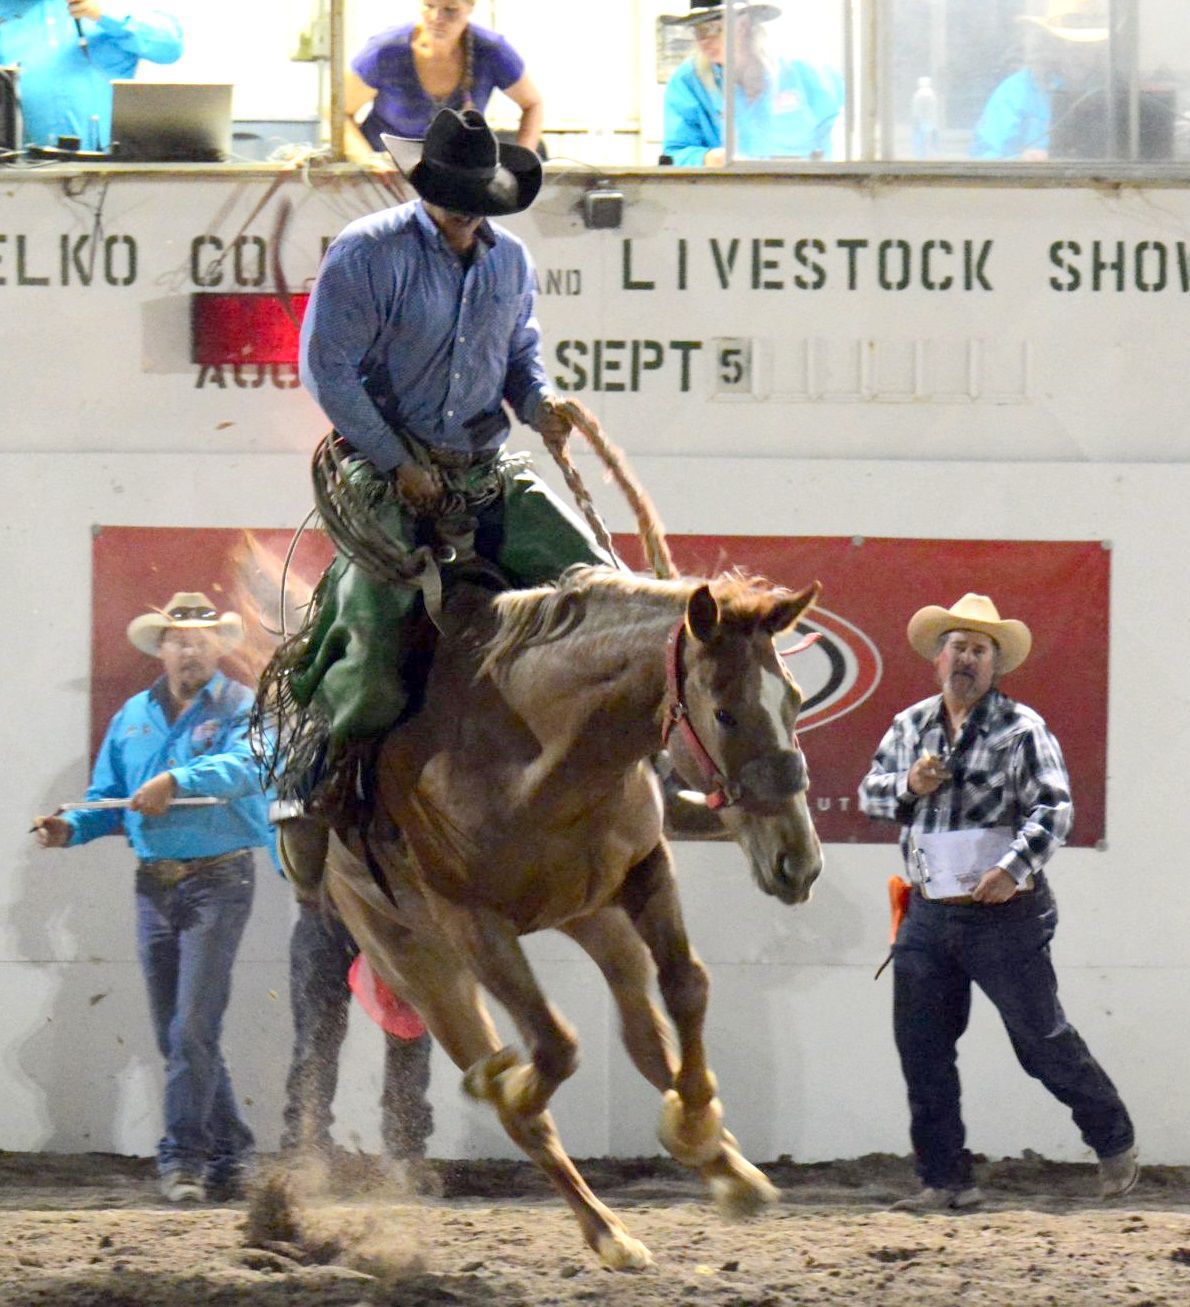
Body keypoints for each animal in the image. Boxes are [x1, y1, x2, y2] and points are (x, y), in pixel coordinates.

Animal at [321, 569, 826, 1265]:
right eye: (724, 712)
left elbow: (687, 985)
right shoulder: (470, 921)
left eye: (797, 700)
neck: (538, 757)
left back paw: (727, 1168)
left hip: (597, 919)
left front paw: (697, 1123)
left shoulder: (646, 866)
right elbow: (554, 1050)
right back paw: (606, 1228)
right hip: (418, 964)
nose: (797, 862)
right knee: (527, 1090)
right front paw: (510, 1088)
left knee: (644, 1037)